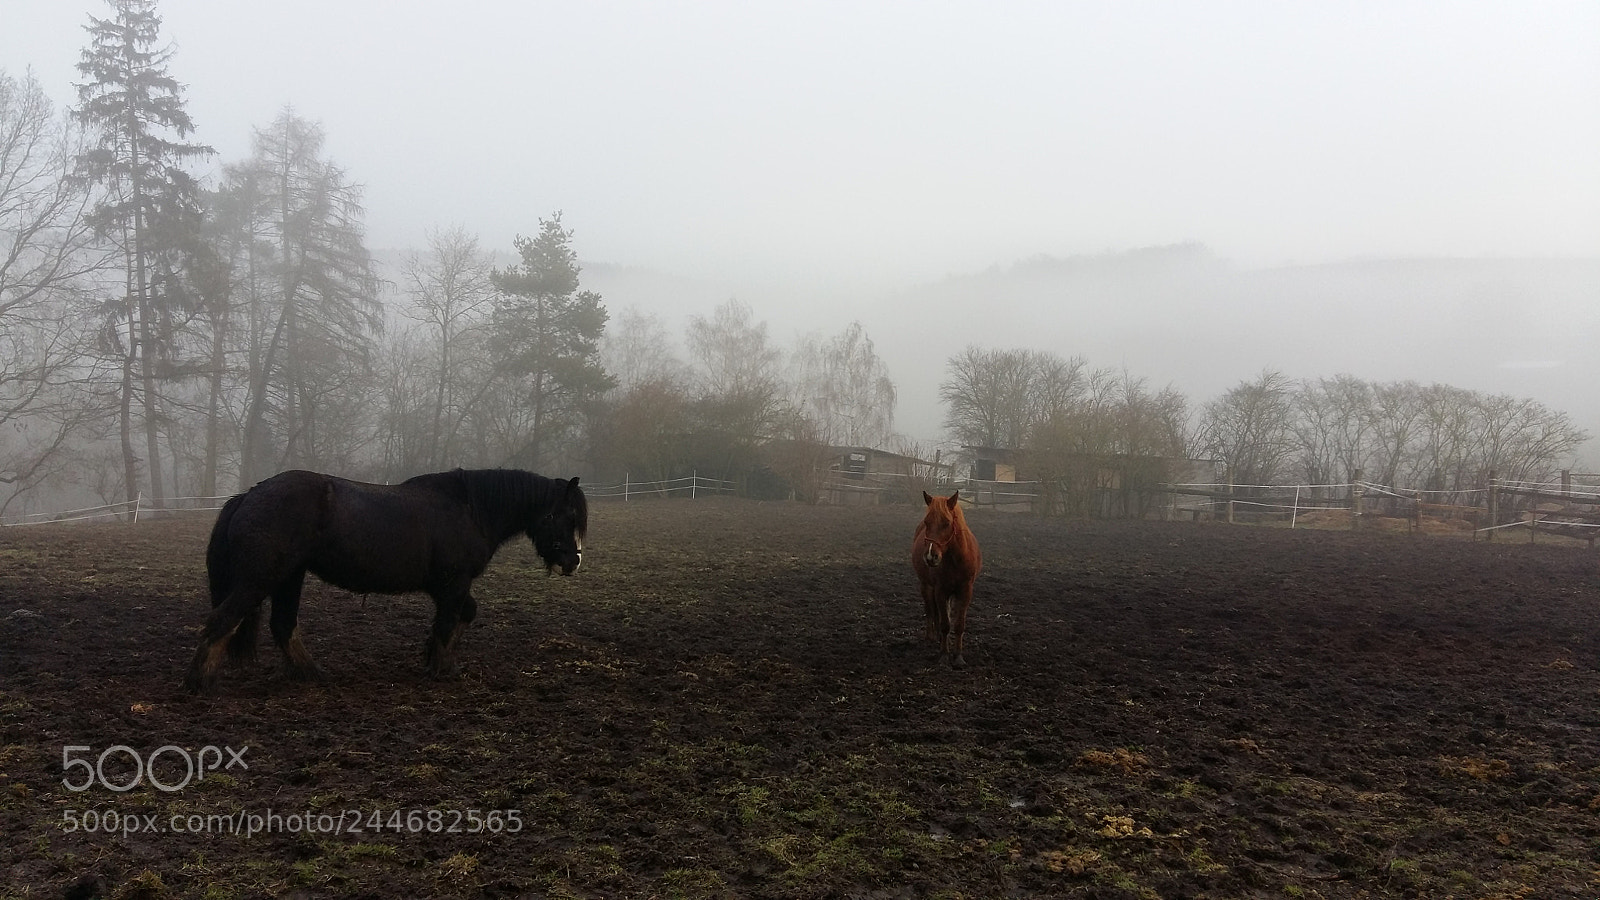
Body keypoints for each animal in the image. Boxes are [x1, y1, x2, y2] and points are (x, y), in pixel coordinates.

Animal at [183, 468, 586, 694]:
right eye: (567, 515)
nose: (574, 561)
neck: (470, 509)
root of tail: (249, 494)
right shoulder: (453, 583)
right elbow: (447, 624)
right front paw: (441, 669)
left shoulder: (448, 587)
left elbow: (461, 617)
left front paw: (438, 660)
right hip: (261, 578)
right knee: (222, 621)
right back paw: (200, 683)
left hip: (289, 578)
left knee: (282, 626)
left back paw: (311, 673)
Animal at [911, 490, 982, 668]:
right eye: (927, 522)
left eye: (947, 523)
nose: (931, 556)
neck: (955, 559)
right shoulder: (940, 590)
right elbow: (944, 624)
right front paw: (944, 655)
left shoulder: (965, 591)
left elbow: (958, 624)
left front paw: (958, 657)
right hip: (926, 586)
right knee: (930, 610)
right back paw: (931, 637)